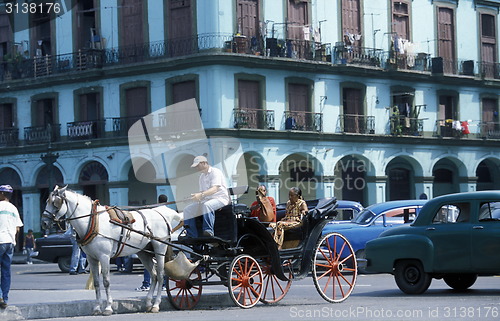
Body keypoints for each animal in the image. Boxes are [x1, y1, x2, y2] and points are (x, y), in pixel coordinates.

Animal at [42, 185, 180, 312]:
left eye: (55, 203)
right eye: (47, 201)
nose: (44, 223)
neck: (93, 221)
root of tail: (161, 215)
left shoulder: (104, 256)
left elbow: (106, 281)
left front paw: (108, 307)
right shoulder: (91, 258)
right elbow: (96, 282)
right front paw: (97, 307)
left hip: (159, 249)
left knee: (161, 276)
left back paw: (156, 304)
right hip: (143, 252)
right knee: (154, 275)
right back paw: (148, 303)